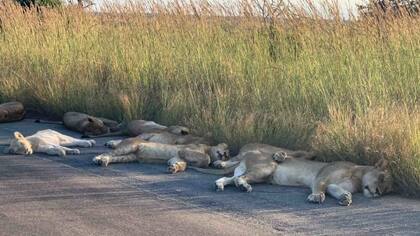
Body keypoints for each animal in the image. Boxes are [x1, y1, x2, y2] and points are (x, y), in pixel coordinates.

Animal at [92, 137, 230, 174]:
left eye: (228, 156)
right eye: (226, 150)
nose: (224, 155)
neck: (208, 149)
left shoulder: (177, 157)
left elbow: (182, 165)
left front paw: (173, 168)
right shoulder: (185, 150)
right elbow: (206, 158)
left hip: (129, 157)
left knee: (112, 157)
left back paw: (103, 161)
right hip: (129, 146)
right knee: (109, 152)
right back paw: (97, 158)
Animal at [213, 150, 394, 206]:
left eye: (387, 190)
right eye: (381, 178)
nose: (378, 193)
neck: (357, 176)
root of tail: (249, 153)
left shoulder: (333, 185)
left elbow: (337, 190)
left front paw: (346, 198)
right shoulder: (322, 176)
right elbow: (319, 186)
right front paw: (316, 196)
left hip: (259, 175)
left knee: (230, 179)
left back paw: (219, 185)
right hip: (266, 168)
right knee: (239, 179)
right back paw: (244, 186)